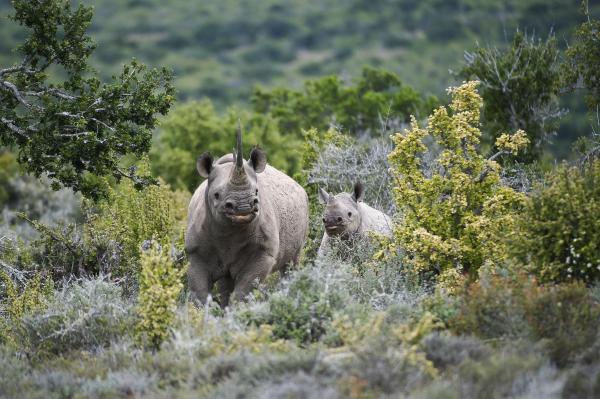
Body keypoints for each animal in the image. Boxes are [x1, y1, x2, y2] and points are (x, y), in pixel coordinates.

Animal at [184, 125, 308, 306]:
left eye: (256, 192)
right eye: (216, 195)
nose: (243, 206)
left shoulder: (263, 253)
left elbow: (243, 291)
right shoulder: (195, 253)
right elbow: (199, 293)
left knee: (291, 262)